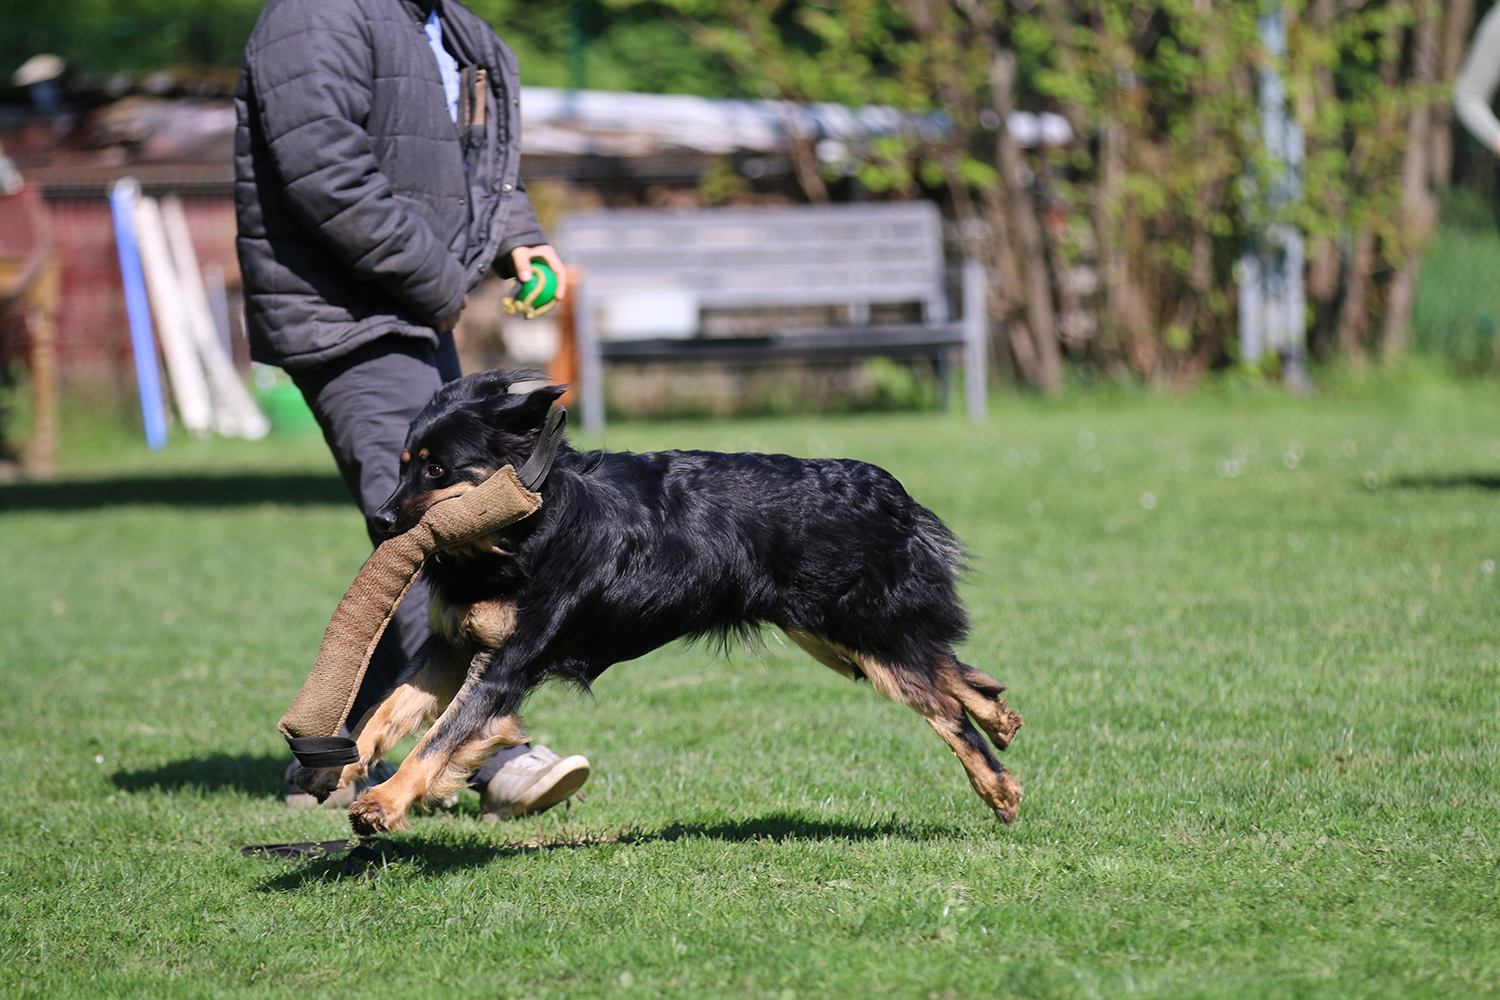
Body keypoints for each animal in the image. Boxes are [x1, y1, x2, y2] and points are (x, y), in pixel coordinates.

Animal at [293, 370, 1023, 833]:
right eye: (404, 464)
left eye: (438, 469)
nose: (383, 521)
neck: (529, 522)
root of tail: (884, 488)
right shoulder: (453, 648)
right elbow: (388, 711)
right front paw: (340, 768)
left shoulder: (503, 667)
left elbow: (439, 738)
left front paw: (384, 803)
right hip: (832, 636)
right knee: (949, 671)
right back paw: (1001, 717)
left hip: (854, 630)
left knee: (944, 705)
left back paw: (1000, 787)